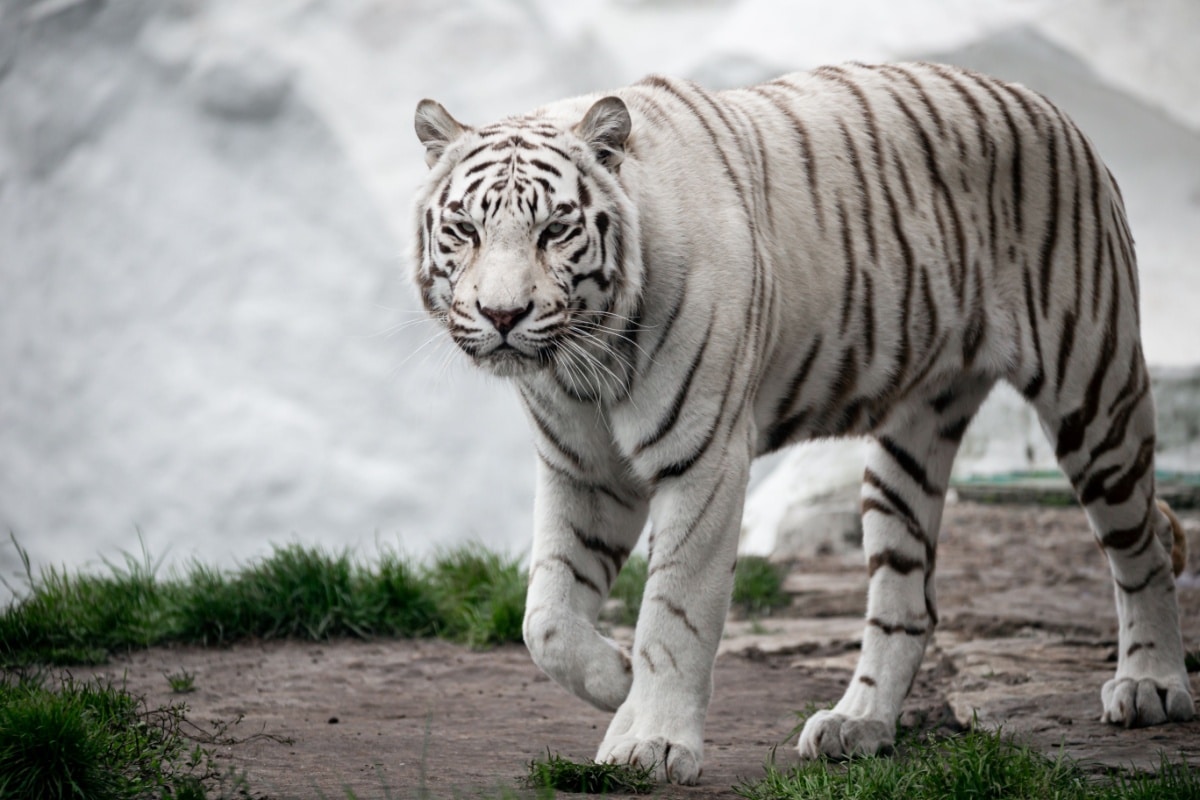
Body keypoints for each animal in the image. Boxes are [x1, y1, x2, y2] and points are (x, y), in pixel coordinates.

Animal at [410, 61, 1194, 784]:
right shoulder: (585, 473)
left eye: (555, 230)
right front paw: (618, 682)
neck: (587, 361)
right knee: (907, 602)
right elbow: (544, 620)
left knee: (1145, 542)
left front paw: (653, 740)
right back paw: (858, 723)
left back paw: (1151, 684)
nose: (502, 315)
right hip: (908, 446)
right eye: (465, 229)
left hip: (1093, 387)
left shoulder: (704, 458)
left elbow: (674, 611)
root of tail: (1046, 104)